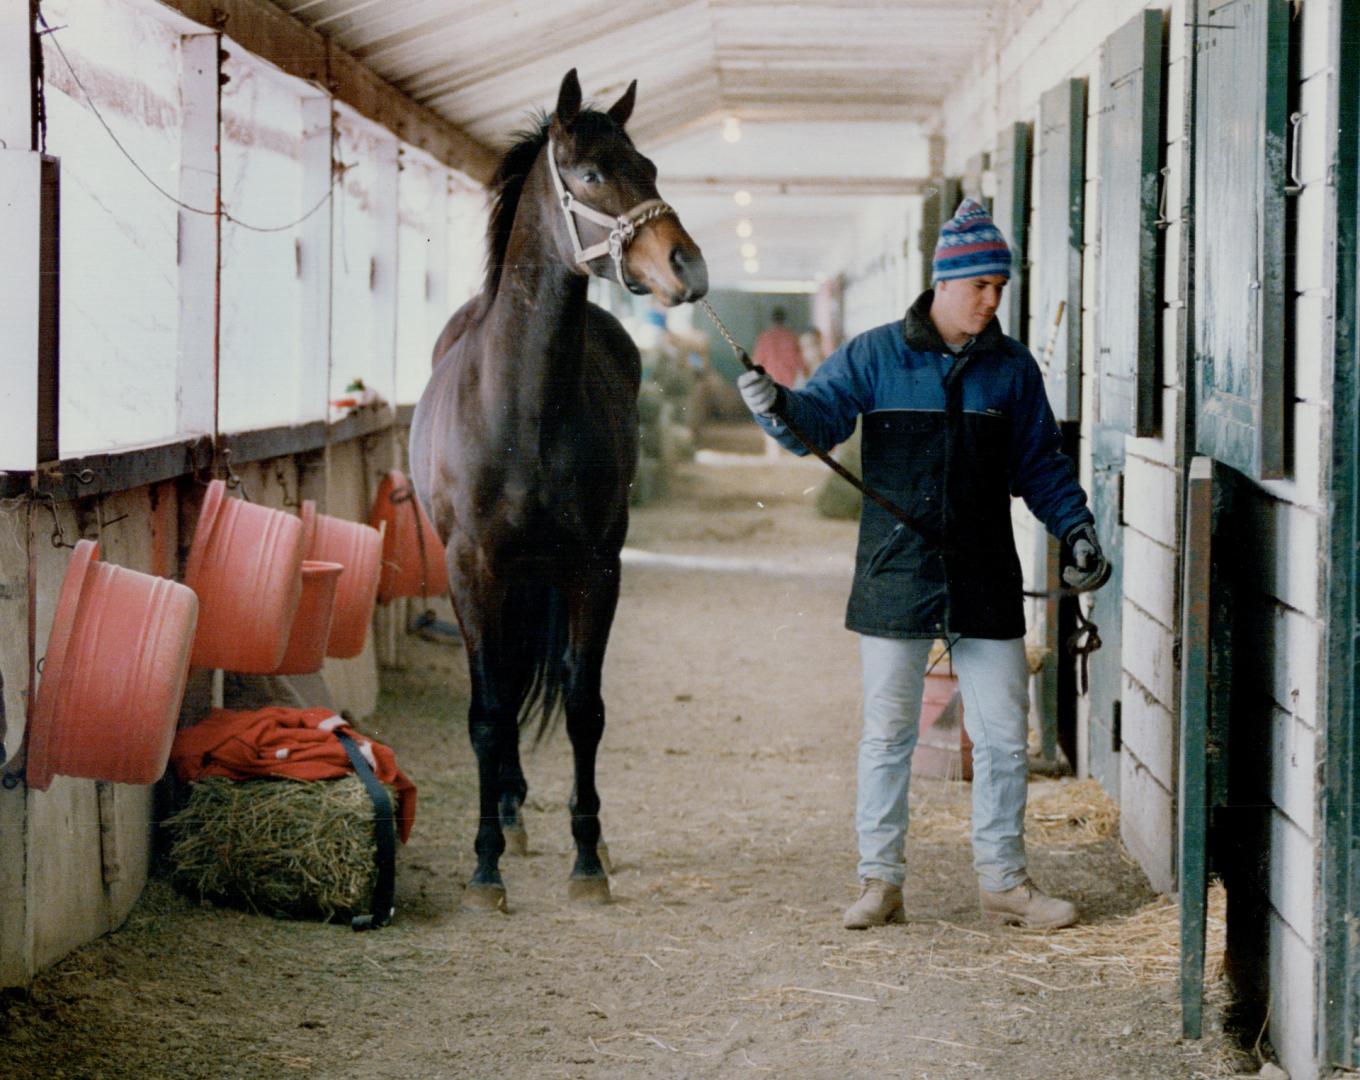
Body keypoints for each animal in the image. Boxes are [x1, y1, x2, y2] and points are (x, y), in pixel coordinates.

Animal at [405, 69, 707, 908]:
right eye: (595, 174)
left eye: (653, 168)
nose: (688, 267)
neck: (525, 403)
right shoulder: (470, 569)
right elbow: (488, 709)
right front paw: (484, 866)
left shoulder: (594, 568)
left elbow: (582, 705)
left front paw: (588, 855)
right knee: (504, 684)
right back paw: (506, 818)